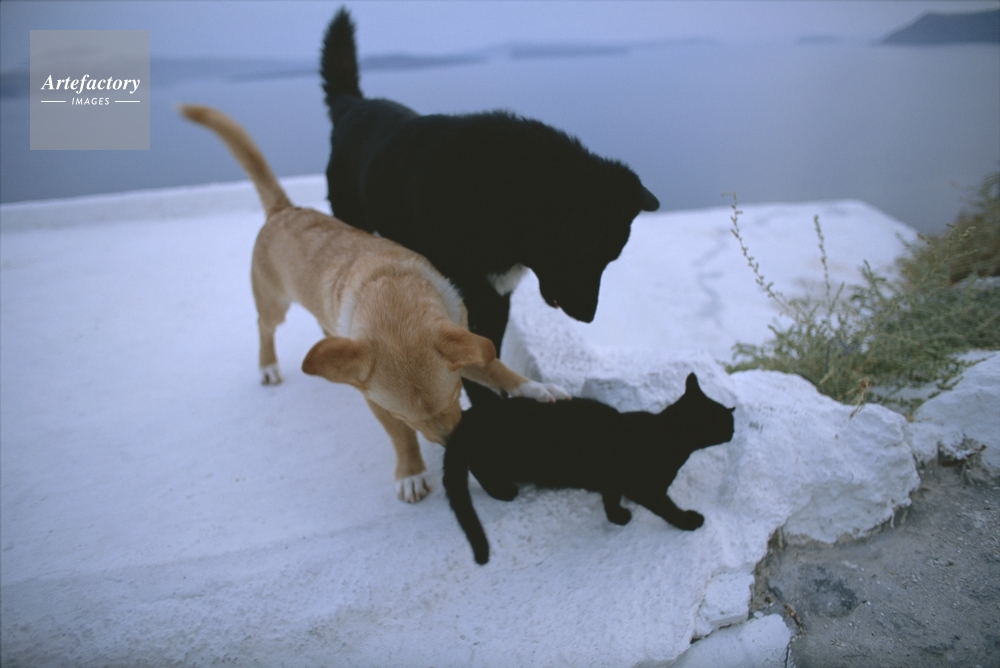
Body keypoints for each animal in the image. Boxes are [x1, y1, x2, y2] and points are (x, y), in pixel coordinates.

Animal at [178, 105, 569, 503]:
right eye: (407, 417)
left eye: (456, 395)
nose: (450, 444)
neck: (392, 298)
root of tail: (283, 211)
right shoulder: (376, 400)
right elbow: (401, 437)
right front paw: (411, 472)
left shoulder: (464, 341)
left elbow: (497, 368)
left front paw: (537, 390)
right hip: (274, 303)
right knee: (264, 326)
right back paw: (268, 366)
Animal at [321, 8, 659, 403]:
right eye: (585, 258)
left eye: (609, 261)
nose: (588, 317)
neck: (502, 196)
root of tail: (352, 104)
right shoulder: (462, 294)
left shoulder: (499, 295)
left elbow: (490, 351)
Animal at [443, 373, 736, 564]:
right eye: (728, 422)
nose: (735, 429)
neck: (666, 434)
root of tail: (472, 415)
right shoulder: (646, 489)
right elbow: (668, 508)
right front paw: (689, 520)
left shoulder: (612, 482)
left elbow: (610, 499)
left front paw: (618, 517)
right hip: (502, 458)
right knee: (478, 468)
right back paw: (503, 491)